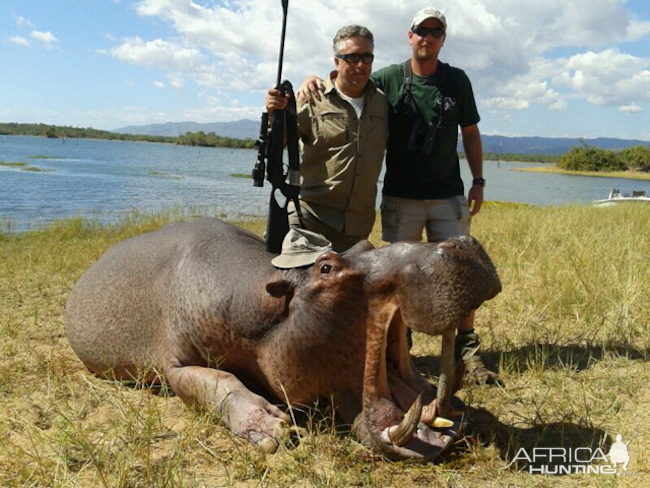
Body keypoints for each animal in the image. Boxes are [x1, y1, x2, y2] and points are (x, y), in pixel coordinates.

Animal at [64, 218, 502, 462]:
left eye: (366, 244)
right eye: (326, 267)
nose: (460, 242)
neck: (264, 299)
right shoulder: (175, 364)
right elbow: (216, 381)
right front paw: (275, 430)